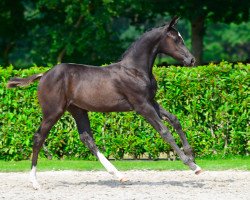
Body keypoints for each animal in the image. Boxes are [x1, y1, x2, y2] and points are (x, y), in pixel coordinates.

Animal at [7, 16, 201, 189]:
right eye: (176, 40)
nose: (191, 60)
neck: (135, 70)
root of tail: (44, 74)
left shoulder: (151, 102)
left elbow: (175, 120)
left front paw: (192, 157)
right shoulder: (141, 106)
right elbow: (165, 131)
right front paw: (191, 165)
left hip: (77, 110)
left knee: (87, 139)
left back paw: (119, 175)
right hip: (53, 111)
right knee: (39, 137)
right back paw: (35, 182)